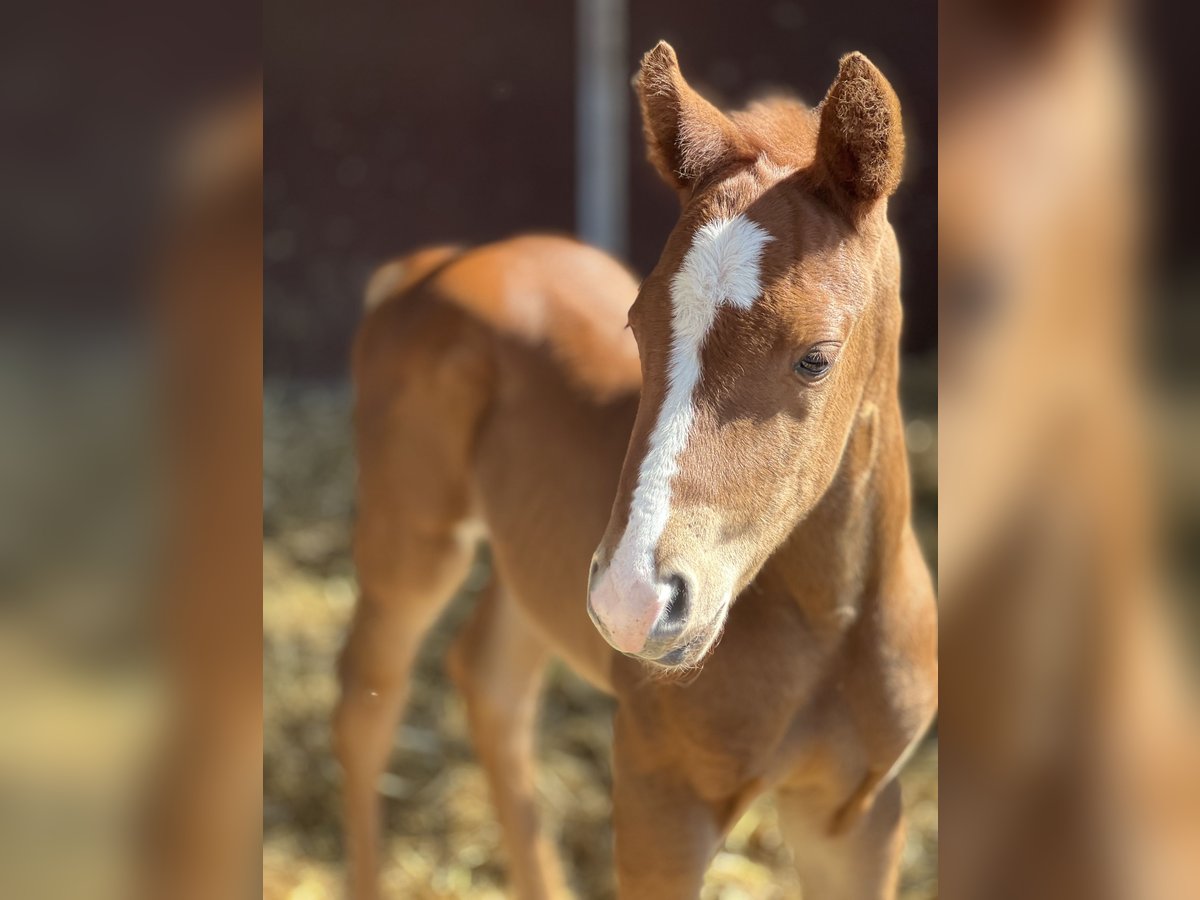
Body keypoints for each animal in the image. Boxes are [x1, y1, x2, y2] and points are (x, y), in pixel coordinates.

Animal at [338, 45, 936, 897]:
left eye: (816, 358)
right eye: (637, 325)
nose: (633, 598)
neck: (832, 622)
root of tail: (435, 265)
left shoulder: (858, 814)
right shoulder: (662, 800)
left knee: (491, 685)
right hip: (414, 540)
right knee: (366, 706)